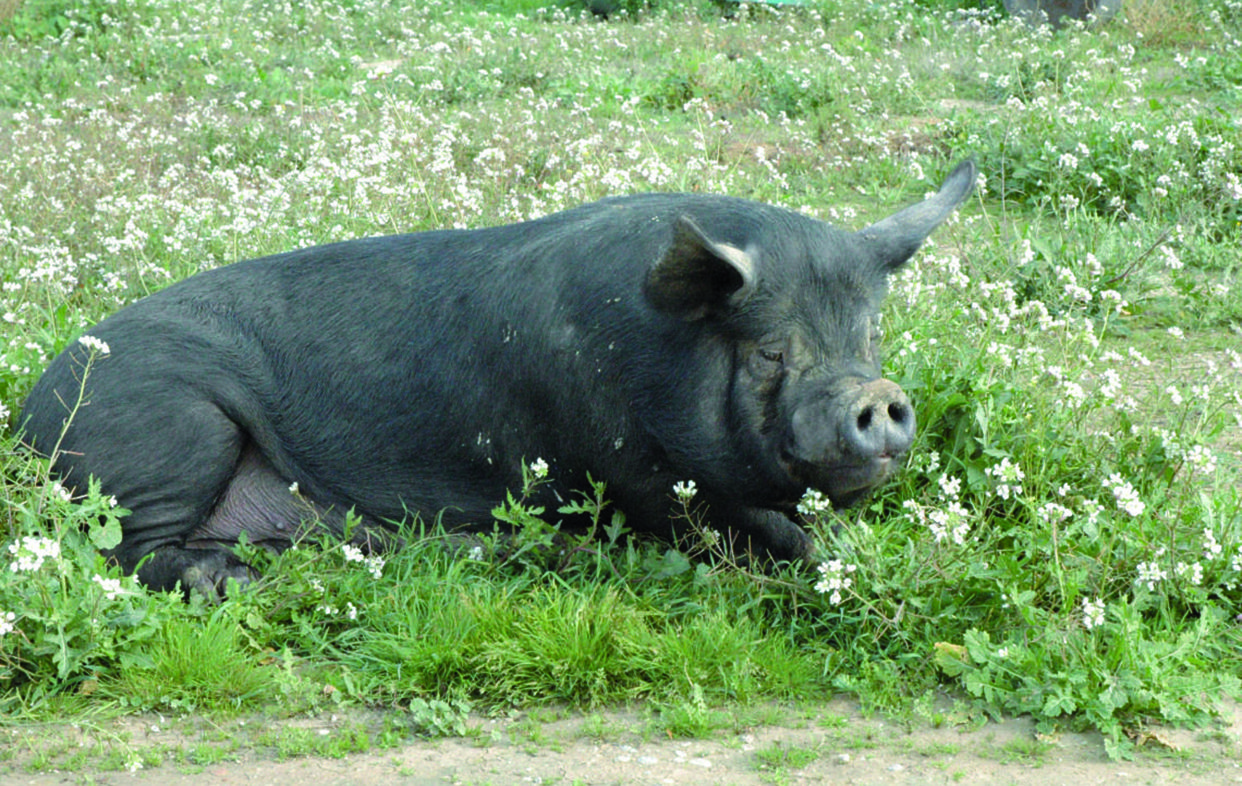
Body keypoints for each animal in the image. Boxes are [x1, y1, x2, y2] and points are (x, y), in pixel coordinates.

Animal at [14, 158, 973, 591]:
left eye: (870, 334)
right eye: (771, 349)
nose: (876, 397)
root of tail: (29, 420)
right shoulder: (628, 466)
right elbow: (757, 529)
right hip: (173, 422)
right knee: (122, 549)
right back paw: (233, 581)